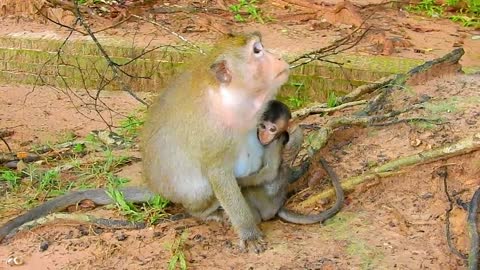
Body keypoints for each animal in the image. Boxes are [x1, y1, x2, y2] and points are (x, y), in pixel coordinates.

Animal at [142, 32, 288, 253]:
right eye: (257, 50)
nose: (279, 57)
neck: (232, 98)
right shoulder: (214, 132)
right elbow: (218, 174)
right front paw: (249, 232)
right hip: (189, 195)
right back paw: (205, 213)